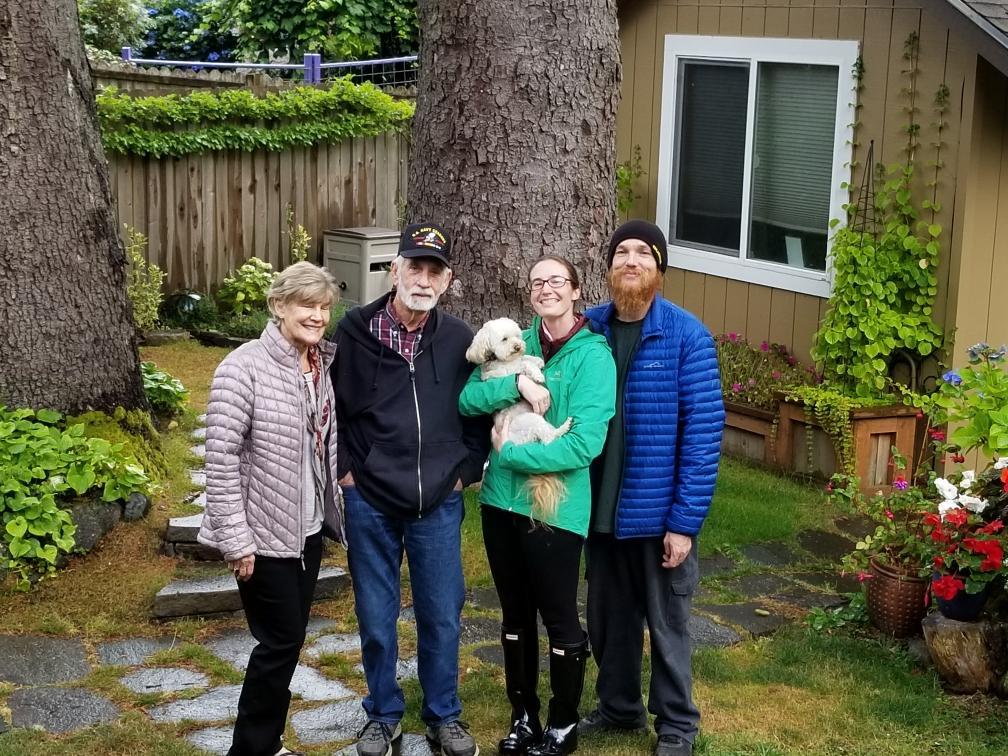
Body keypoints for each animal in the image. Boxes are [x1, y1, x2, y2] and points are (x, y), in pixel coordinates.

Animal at [461, 318, 568, 520]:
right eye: (504, 339)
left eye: (517, 336)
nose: (518, 346)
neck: (501, 360)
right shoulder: (509, 371)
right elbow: (524, 365)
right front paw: (537, 374)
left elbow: (525, 359)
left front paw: (537, 360)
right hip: (531, 421)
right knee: (549, 438)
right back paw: (565, 426)